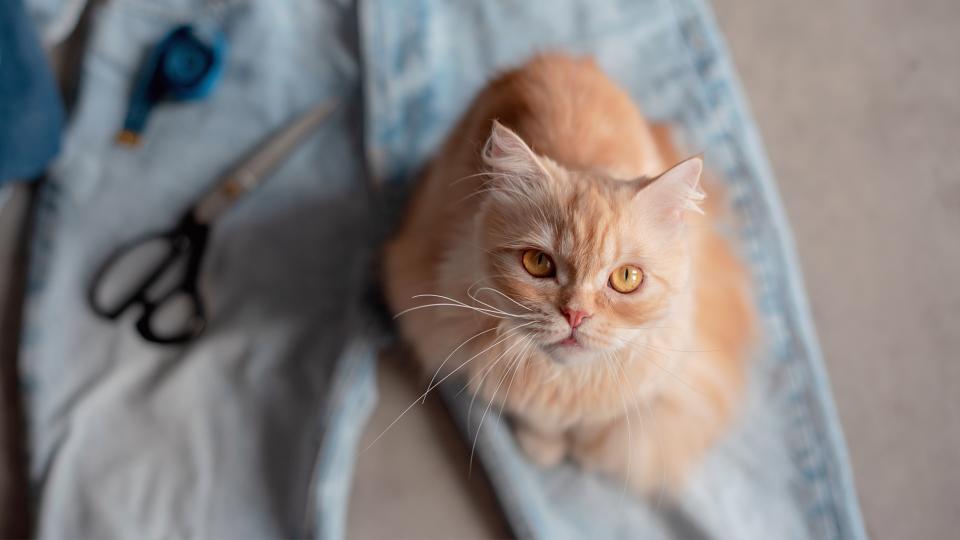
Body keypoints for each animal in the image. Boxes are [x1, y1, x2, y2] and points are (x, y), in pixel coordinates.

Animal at [384, 52, 756, 496]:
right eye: (538, 263)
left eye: (626, 278)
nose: (576, 315)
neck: (567, 384)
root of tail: (559, 56)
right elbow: (533, 412)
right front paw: (544, 446)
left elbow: (602, 422)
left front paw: (585, 449)